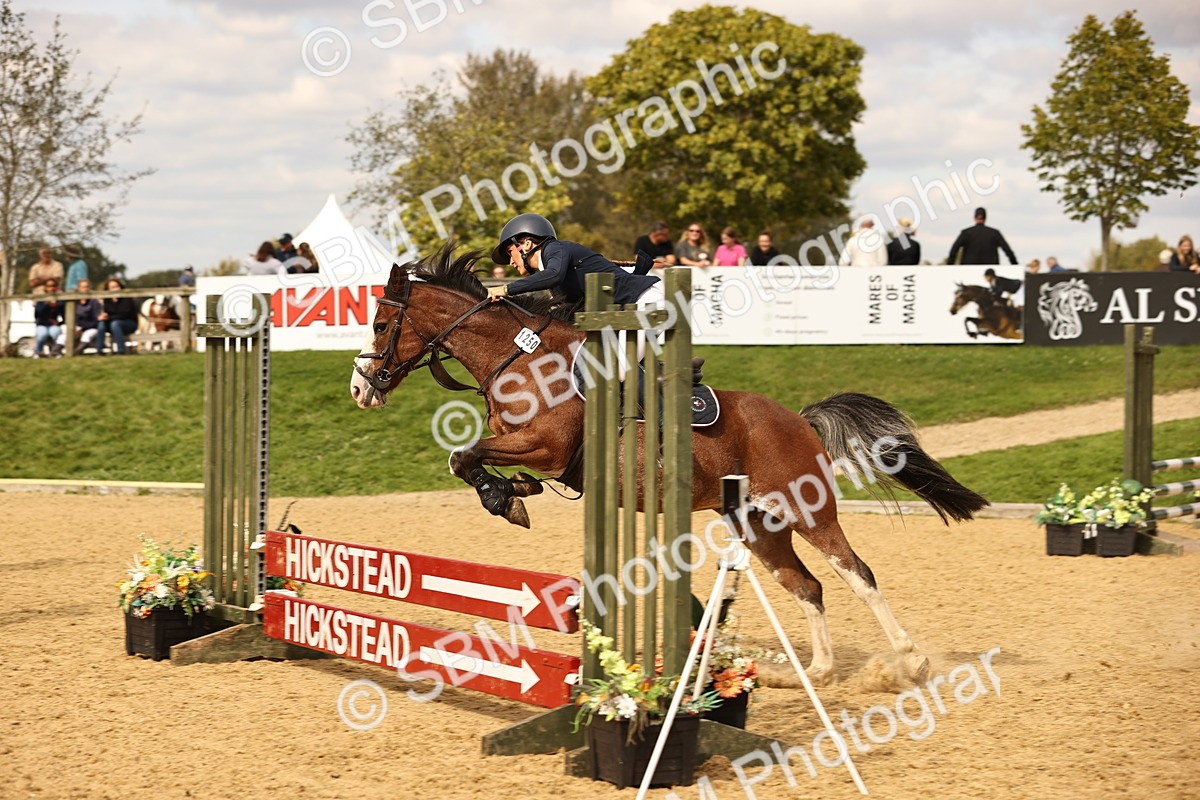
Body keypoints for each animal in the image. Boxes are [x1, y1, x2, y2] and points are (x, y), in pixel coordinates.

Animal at [350, 245, 988, 684]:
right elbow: (469, 459)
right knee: (806, 585)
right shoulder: (525, 446)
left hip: (807, 509)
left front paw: (505, 500)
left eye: (381, 324)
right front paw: (513, 495)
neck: (518, 358)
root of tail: (801, 419)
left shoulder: (547, 446)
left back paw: (910, 660)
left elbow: (464, 455)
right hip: (757, 524)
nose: (361, 389)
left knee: (856, 573)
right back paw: (816, 672)